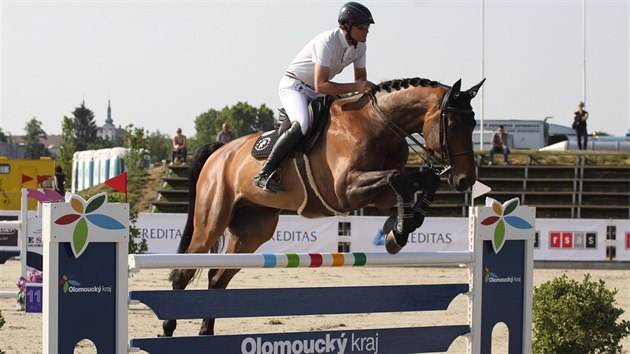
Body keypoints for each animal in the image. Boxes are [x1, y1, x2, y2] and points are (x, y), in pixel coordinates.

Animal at [165, 77, 486, 338]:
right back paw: (168, 328)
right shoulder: (346, 191)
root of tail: (219, 151)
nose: (466, 179)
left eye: (473, 125)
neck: (378, 124)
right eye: (453, 125)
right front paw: (398, 231)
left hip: (252, 230)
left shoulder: (378, 194)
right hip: (211, 222)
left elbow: (419, 180)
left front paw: (401, 227)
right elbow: (397, 178)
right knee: (183, 272)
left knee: (218, 278)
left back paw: (206, 333)